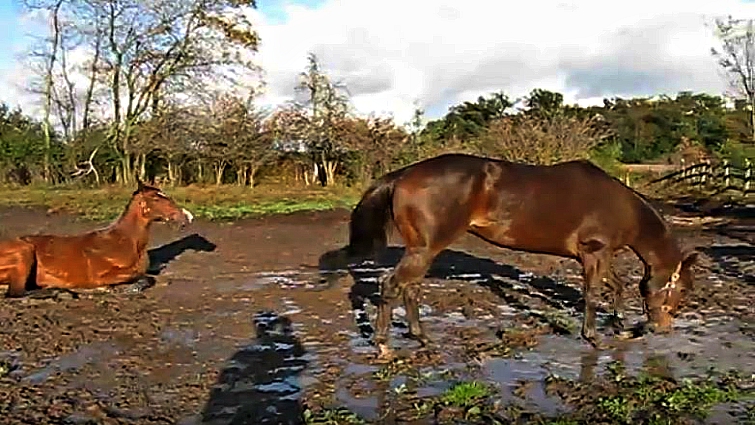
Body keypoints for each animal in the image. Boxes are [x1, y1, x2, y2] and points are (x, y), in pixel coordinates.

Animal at [0, 179, 194, 297]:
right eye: (155, 198)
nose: (187, 217)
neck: (125, 242)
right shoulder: (103, 275)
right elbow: (143, 277)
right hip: (24, 251)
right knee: (16, 292)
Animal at [343, 153, 699, 359]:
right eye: (681, 289)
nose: (663, 327)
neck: (623, 207)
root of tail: (402, 175)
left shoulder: (600, 255)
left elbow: (618, 286)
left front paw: (621, 327)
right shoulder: (593, 254)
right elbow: (592, 294)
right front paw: (594, 337)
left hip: (424, 250)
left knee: (411, 289)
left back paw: (423, 339)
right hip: (424, 249)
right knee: (391, 285)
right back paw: (384, 345)